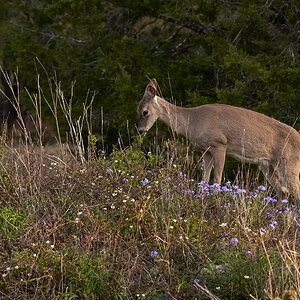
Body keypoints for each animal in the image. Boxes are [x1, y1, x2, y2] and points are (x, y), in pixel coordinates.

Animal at [138, 79, 300, 202]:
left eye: (145, 112)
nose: (140, 130)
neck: (192, 121)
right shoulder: (206, 151)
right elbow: (204, 180)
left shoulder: (219, 144)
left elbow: (217, 180)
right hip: (267, 165)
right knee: (283, 192)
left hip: (288, 163)